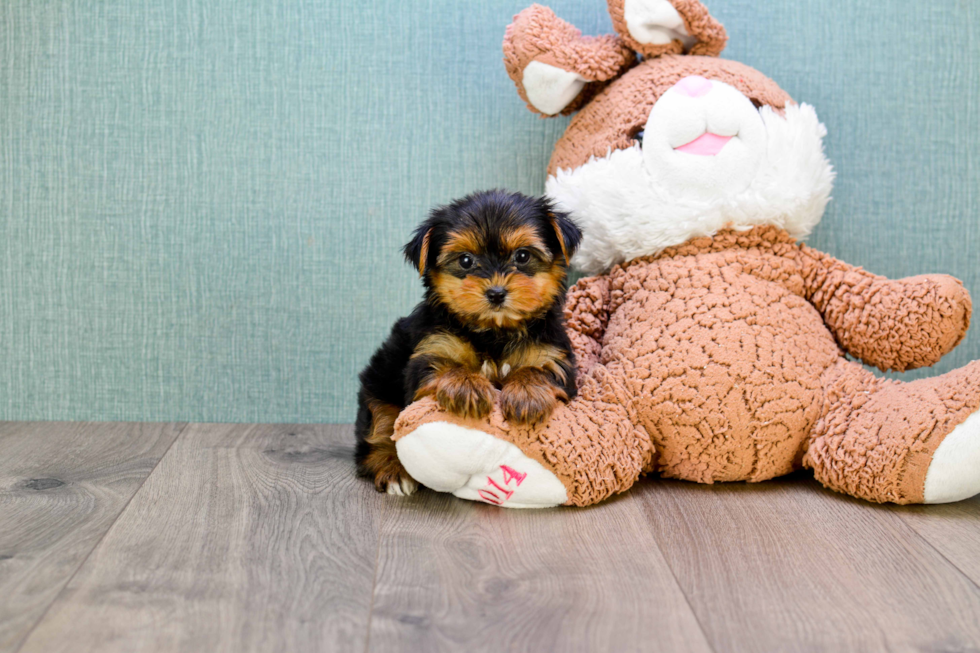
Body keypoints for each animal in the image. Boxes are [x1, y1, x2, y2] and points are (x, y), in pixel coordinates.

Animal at [354, 188, 580, 494]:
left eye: (522, 256)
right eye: (465, 261)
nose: (496, 293)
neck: (494, 330)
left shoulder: (552, 355)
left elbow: (538, 369)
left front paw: (527, 393)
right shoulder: (431, 349)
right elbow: (446, 366)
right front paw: (467, 387)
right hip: (378, 382)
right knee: (380, 427)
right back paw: (393, 470)